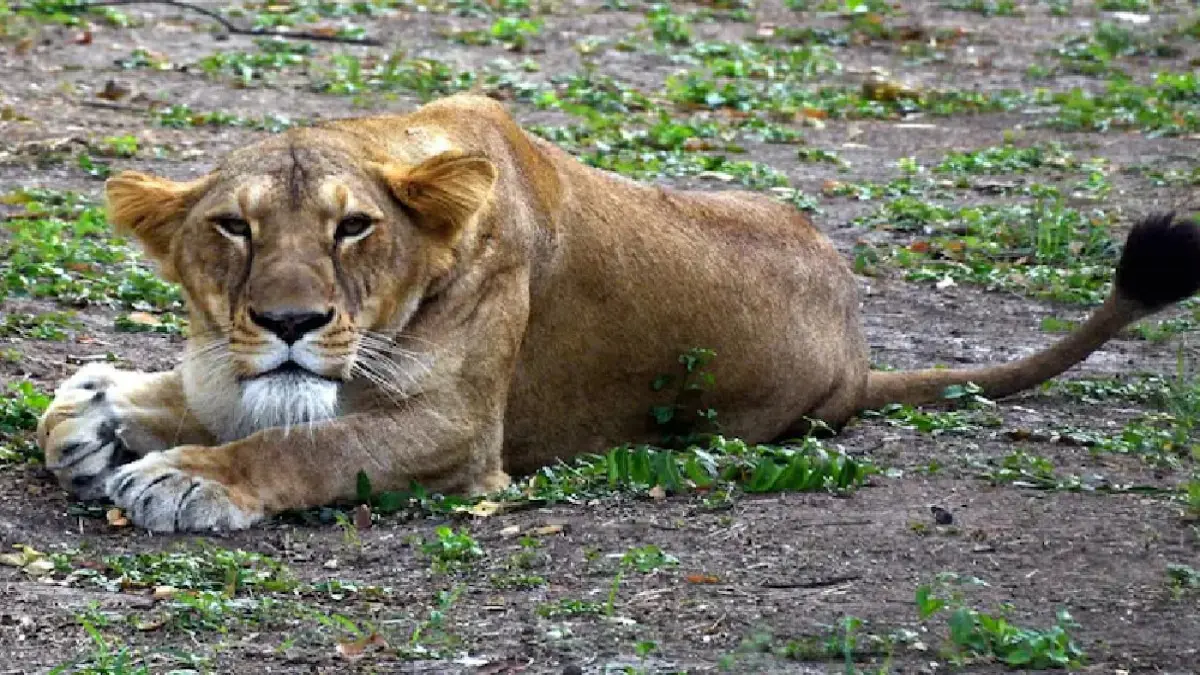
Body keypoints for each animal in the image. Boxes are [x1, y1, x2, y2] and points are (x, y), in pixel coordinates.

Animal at [35, 93, 1200, 532]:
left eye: (353, 227)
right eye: (232, 227)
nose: (288, 321)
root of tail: (862, 353)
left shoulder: (460, 438)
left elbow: (302, 446)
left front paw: (183, 476)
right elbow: (184, 395)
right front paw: (99, 413)